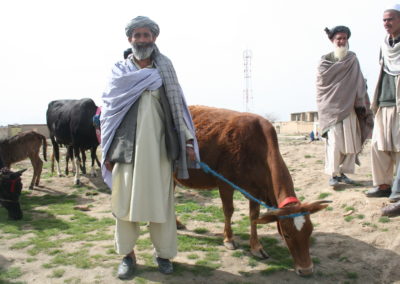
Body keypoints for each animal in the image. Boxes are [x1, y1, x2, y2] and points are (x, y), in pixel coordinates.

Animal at [177, 105, 328, 276]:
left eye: (310, 231)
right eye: (287, 234)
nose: (306, 270)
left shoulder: (256, 190)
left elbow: (254, 216)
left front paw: (256, 247)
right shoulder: (225, 183)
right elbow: (228, 211)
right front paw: (229, 239)